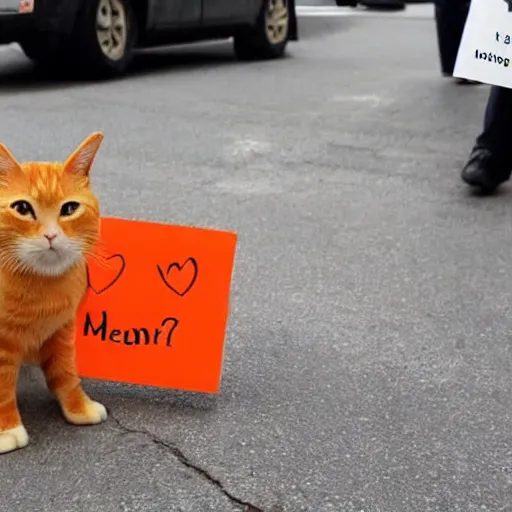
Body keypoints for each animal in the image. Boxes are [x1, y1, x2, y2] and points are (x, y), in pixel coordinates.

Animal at [0, 134, 107, 454]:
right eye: (22, 208)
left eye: (69, 209)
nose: (50, 235)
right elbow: (2, 388)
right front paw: (7, 429)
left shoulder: (62, 331)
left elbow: (66, 373)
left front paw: (78, 407)